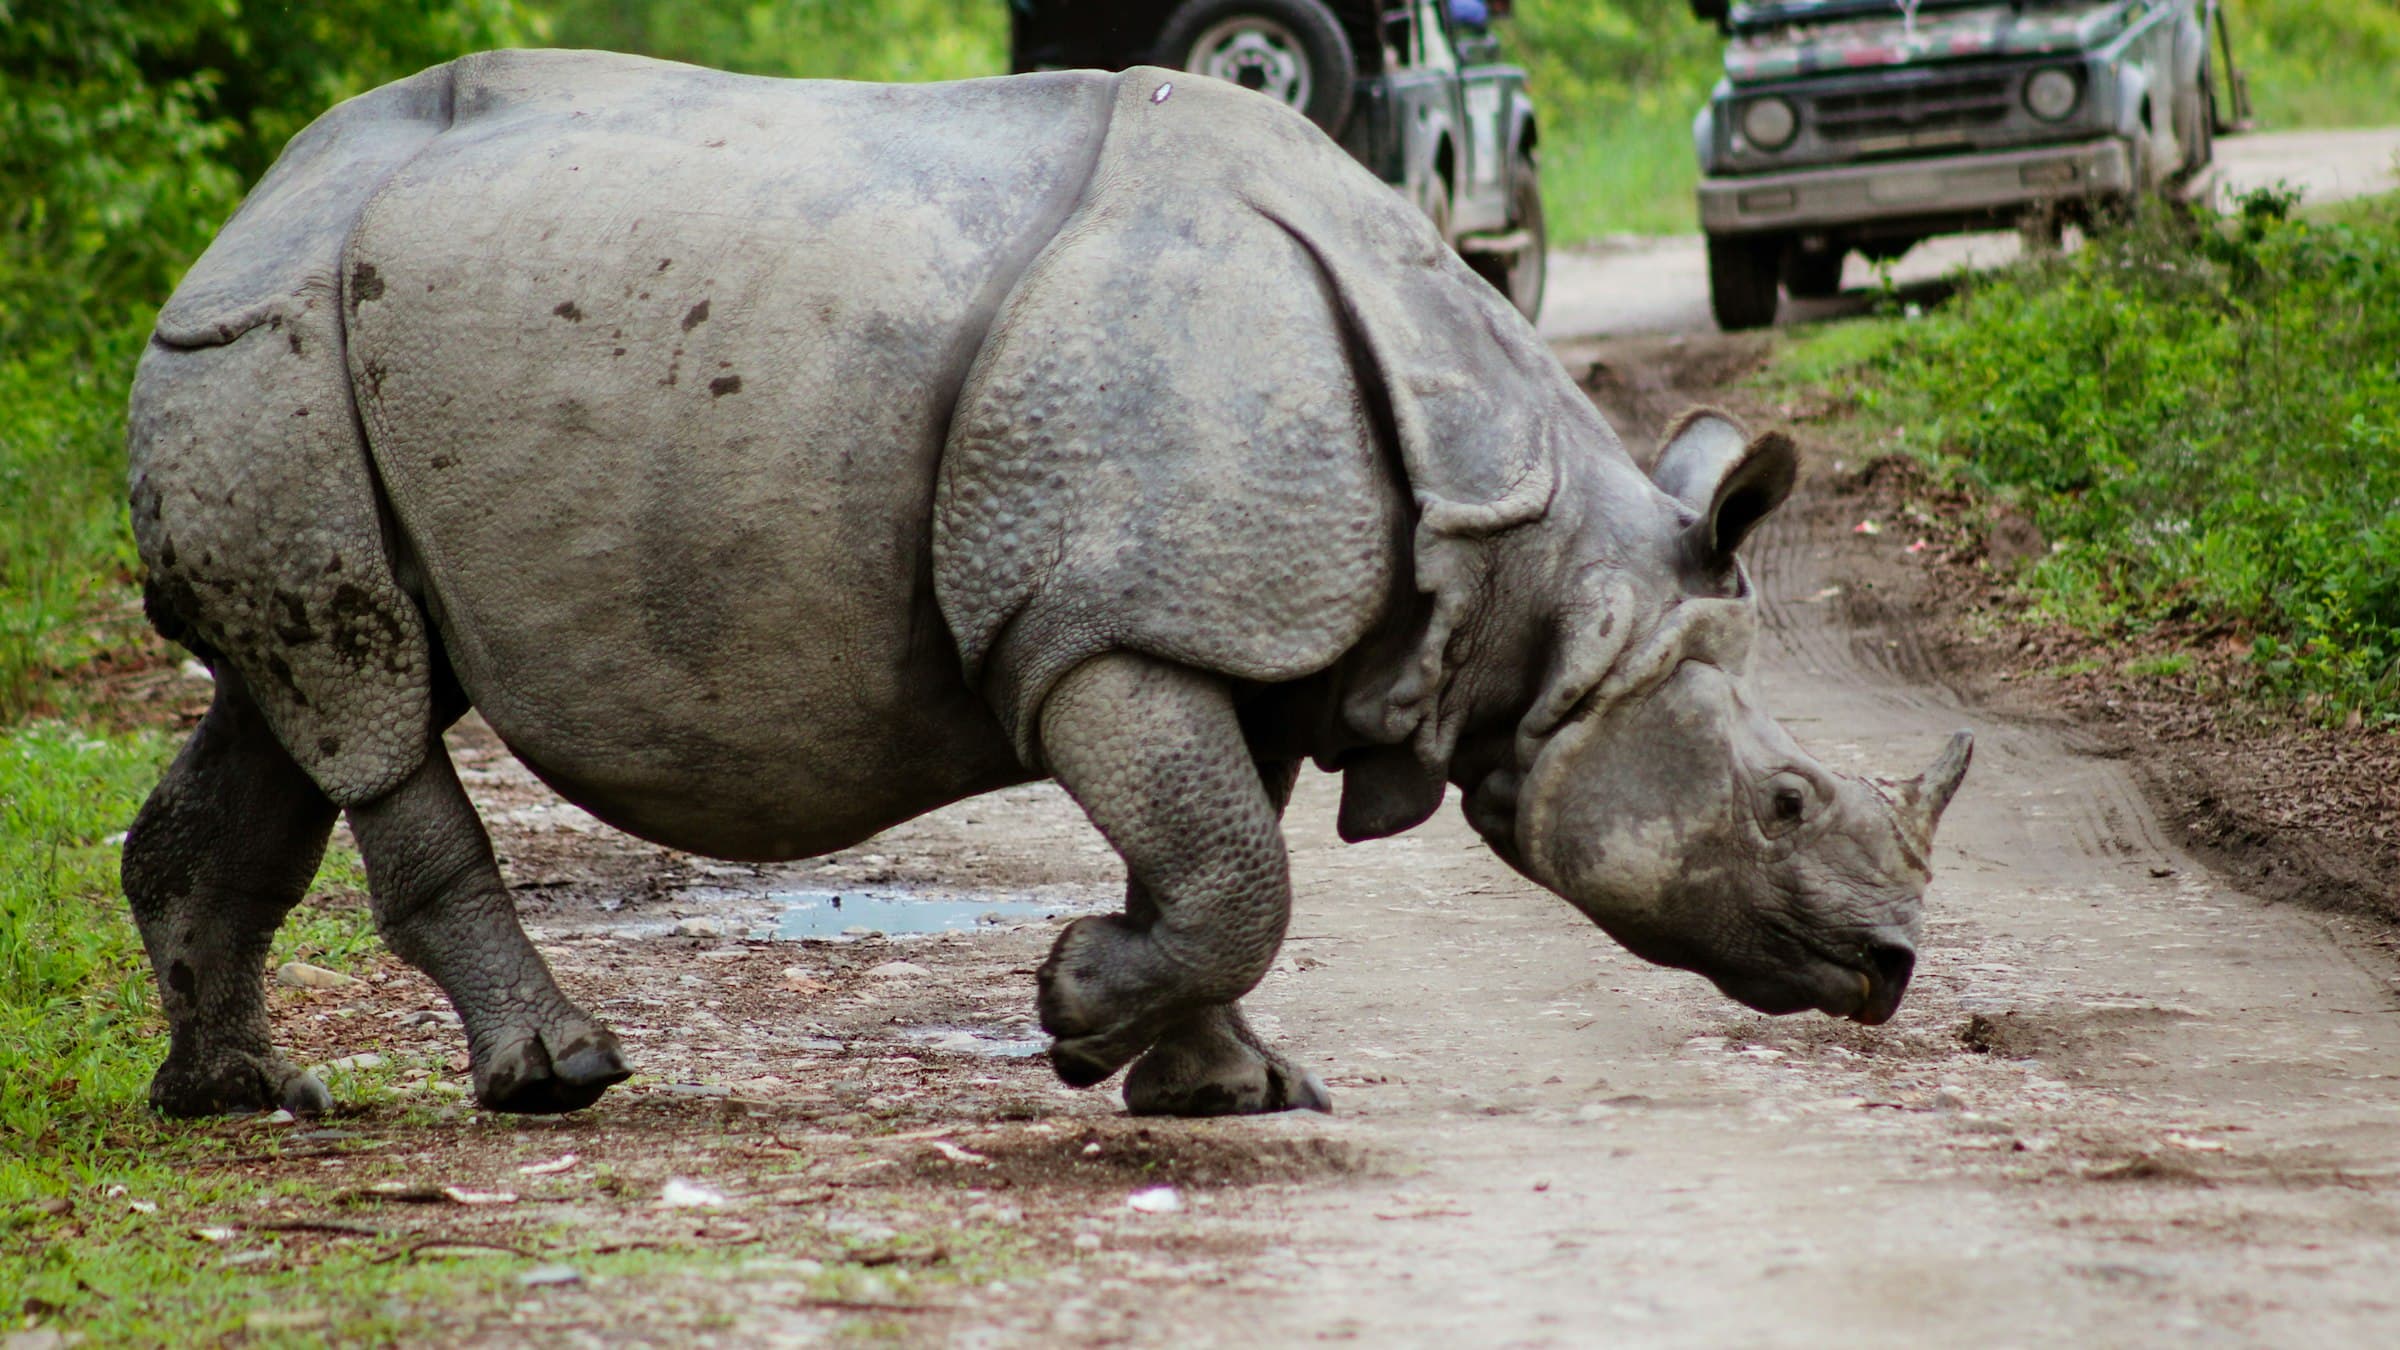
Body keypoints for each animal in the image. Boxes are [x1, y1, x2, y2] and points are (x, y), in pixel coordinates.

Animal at [123, 49, 1970, 1120]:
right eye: (1785, 801)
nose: (1890, 969)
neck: (1530, 568)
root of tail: (248, 206)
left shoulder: (1242, 624)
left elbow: (1224, 863)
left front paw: (1227, 1089)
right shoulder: (1095, 627)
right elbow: (1230, 871)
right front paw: (1080, 1015)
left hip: (322, 347)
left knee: (300, 696)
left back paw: (241, 1098)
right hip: (272, 343)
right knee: (366, 700)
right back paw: (557, 1081)